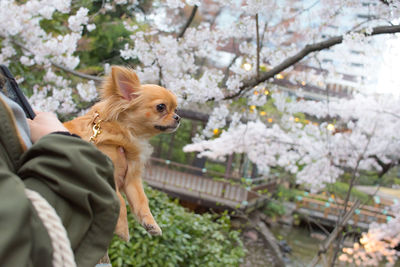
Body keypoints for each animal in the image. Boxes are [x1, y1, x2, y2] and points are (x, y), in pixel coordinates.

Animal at [64, 66, 180, 242]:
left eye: (176, 109)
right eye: (161, 107)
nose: (178, 117)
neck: (128, 132)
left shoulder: (131, 178)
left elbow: (141, 201)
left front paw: (151, 223)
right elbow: (120, 201)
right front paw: (123, 230)